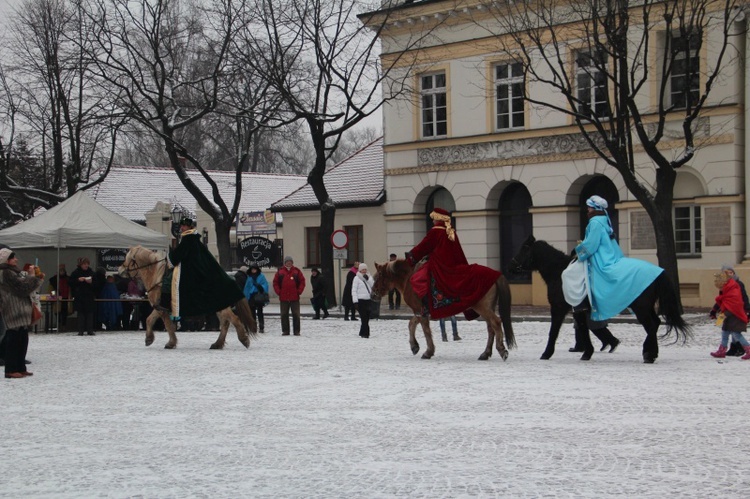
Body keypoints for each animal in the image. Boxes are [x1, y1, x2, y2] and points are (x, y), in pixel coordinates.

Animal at [118, 247, 258, 350]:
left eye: (127, 258)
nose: (119, 270)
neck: (157, 276)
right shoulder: (159, 308)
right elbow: (149, 319)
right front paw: (149, 339)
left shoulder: (162, 309)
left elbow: (168, 325)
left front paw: (171, 343)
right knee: (225, 322)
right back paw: (217, 344)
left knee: (234, 319)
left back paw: (243, 339)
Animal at [372, 260, 516, 362]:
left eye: (378, 276)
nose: (373, 294)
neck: (409, 278)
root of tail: (495, 274)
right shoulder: (421, 312)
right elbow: (412, 324)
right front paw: (415, 346)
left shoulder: (420, 310)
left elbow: (424, 330)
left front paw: (428, 351)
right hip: (486, 308)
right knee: (491, 328)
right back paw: (485, 353)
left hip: (483, 307)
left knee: (496, 322)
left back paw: (501, 349)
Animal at [512, 235, 692, 364]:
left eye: (523, 249)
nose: (510, 266)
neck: (559, 272)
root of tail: (658, 272)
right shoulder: (578, 310)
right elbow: (583, 329)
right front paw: (587, 352)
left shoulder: (558, 308)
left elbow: (554, 331)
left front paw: (546, 353)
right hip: (646, 308)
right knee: (655, 323)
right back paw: (649, 352)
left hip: (640, 308)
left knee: (651, 325)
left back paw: (649, 354)